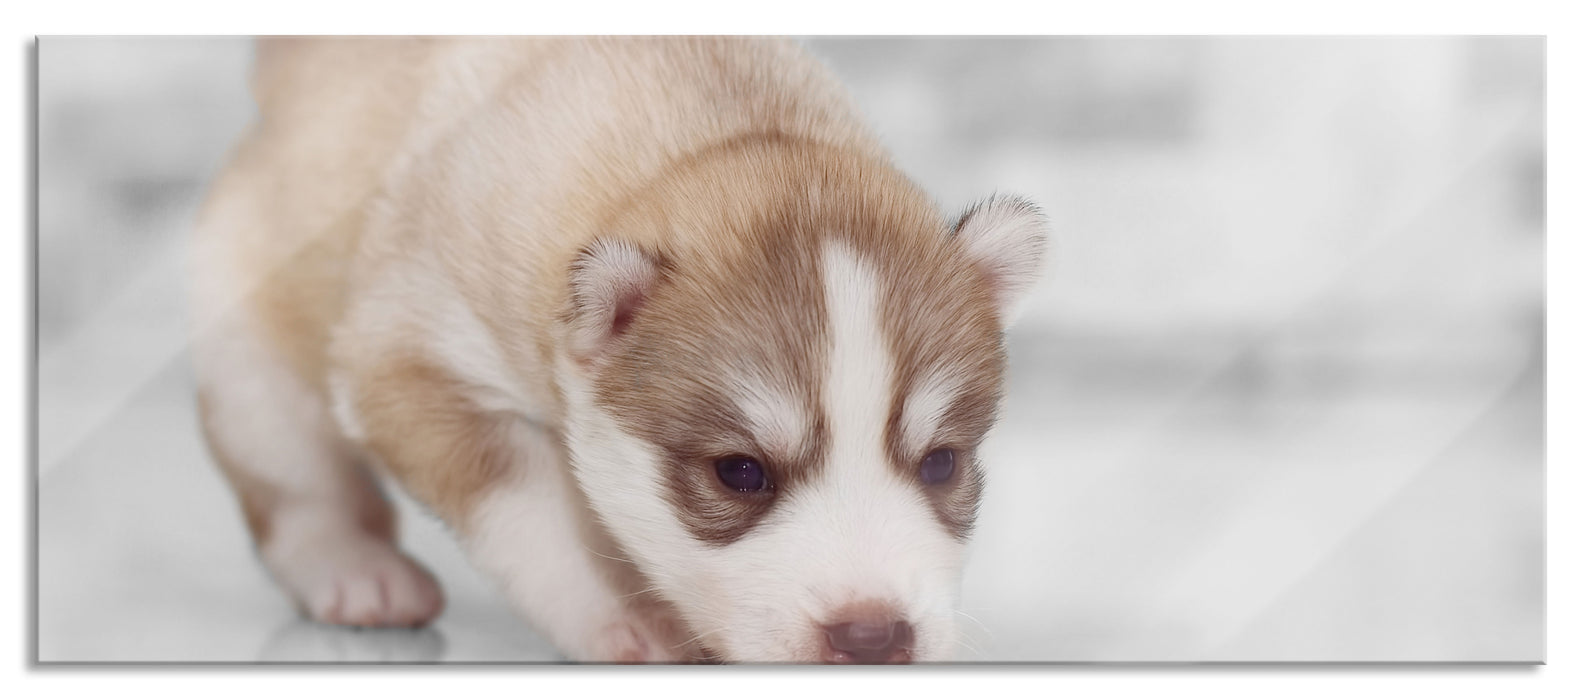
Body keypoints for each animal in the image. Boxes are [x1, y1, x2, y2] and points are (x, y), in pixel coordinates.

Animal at [188, 36, 1050, 661]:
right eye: (740, 474)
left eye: (941, 463)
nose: (873, 637)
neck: (698, 136)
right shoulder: (412, 356)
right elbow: (529, 504)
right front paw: (619, 617)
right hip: (251, 356)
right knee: (295, 478)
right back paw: (352, 567)